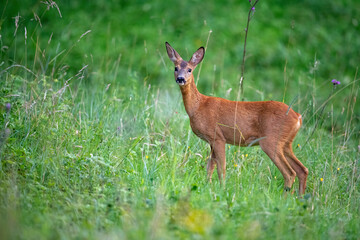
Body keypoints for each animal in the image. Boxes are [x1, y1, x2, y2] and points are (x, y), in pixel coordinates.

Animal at [165, 41, 308, 195]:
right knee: (302, 170)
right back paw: (300, 198)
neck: (198, 107)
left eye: (190, 70)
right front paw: (208, 186)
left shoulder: (217, 137)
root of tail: (298, 117)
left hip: (271, 140)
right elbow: (210, 166)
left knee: (290, 173)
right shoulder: (211, 140)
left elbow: (221, 168)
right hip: (286, 143)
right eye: (175, 68)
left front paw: (222, 189)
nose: (180, 79)